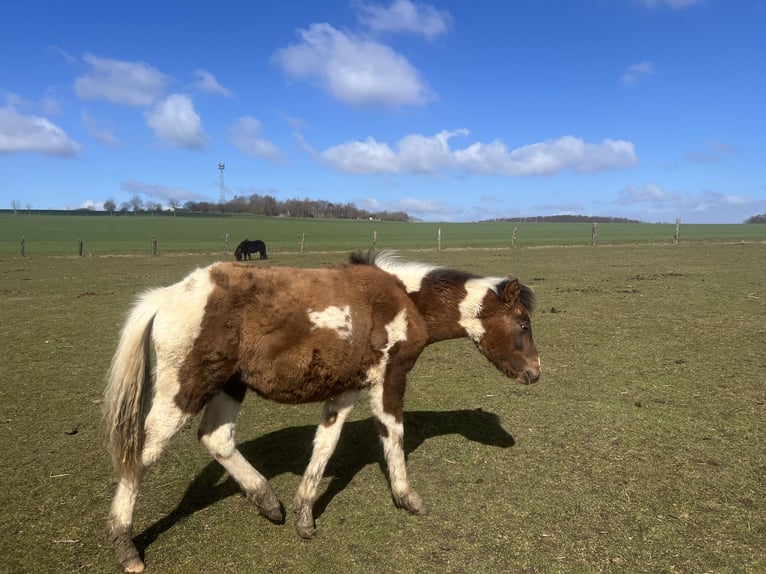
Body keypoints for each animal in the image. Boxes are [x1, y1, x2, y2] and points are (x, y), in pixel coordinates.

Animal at [104, 250, 540, 573]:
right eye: (522, 324)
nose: (535, 373)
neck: (404, 299)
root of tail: (167, 296)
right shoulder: (390, 379)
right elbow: (393, 434)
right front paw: (407, 498)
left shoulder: (345, 391)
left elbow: (326, 444)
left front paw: (303, 515)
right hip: (185, 391)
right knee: (141, 451)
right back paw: (125, 546)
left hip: (228, 385)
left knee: (216, 438)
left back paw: (268, 501)